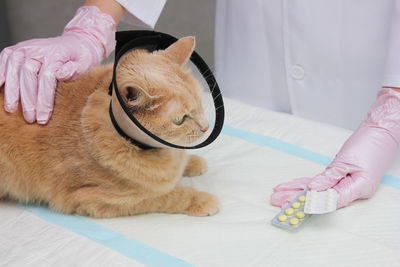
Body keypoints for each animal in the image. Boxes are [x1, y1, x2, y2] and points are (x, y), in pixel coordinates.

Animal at [0, 36, 219, 219]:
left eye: (199, 102)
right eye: (180, 119)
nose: (205, 128)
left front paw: (193, 162)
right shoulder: (100, 199)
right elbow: (168, 197)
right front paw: (201, 200)